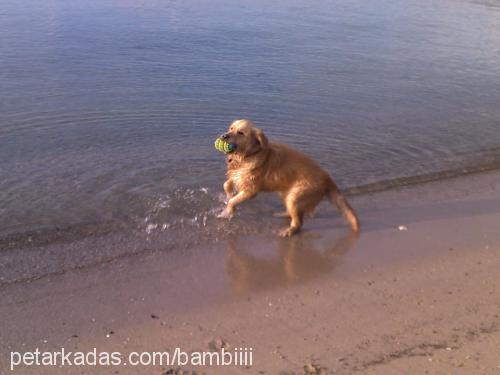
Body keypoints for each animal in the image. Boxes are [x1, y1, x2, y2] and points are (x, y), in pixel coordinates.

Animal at [216, 119, 360, 236]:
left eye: (241, 133)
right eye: (231, 128)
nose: (224, 135)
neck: (250, 154)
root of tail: (327, 178)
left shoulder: (251, 190)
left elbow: (233, 201)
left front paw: (227, 212)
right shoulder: (238, 176)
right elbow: (226, 184)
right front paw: (228, 196)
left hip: (295, 197)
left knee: (298, 221)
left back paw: (289, 231)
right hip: (285, 193)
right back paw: (283, 214)